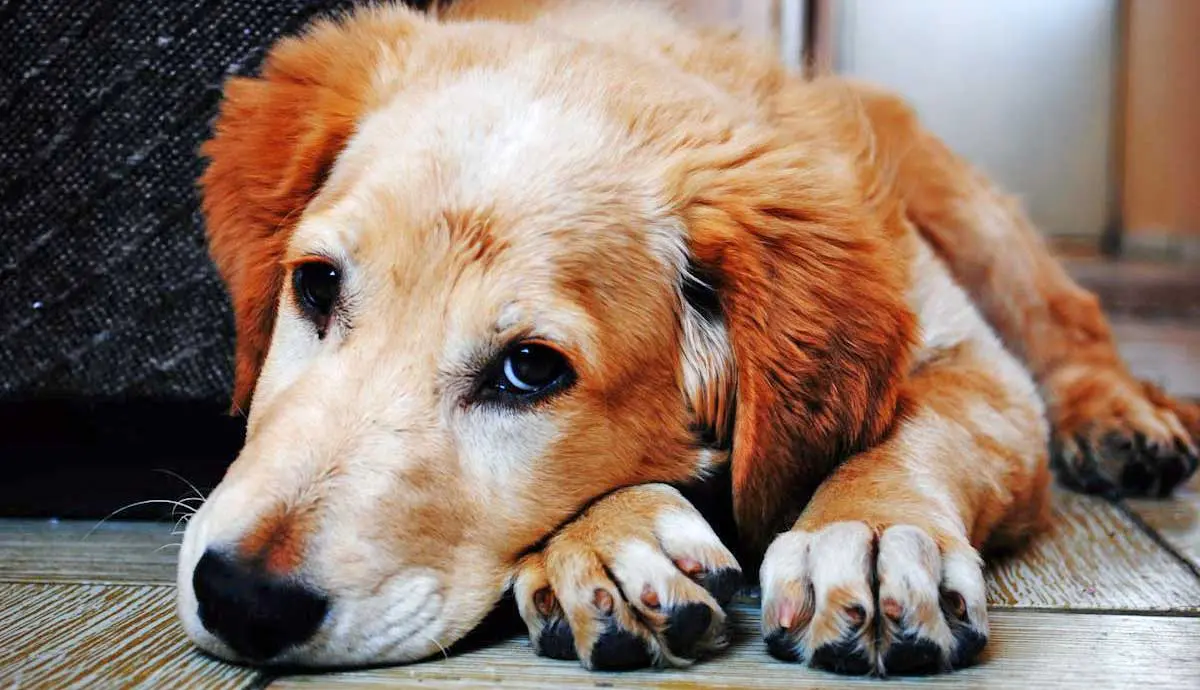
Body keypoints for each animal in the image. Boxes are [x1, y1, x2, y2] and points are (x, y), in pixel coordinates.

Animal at [177, 0, 1200, 681]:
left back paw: (1124, 423)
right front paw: (610, 543)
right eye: (315, 285)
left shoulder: (974, 365)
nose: (242, 597)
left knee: (1074, 327)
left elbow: (920, 430)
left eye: (529, 369)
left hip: (972, 215)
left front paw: (867, 531)